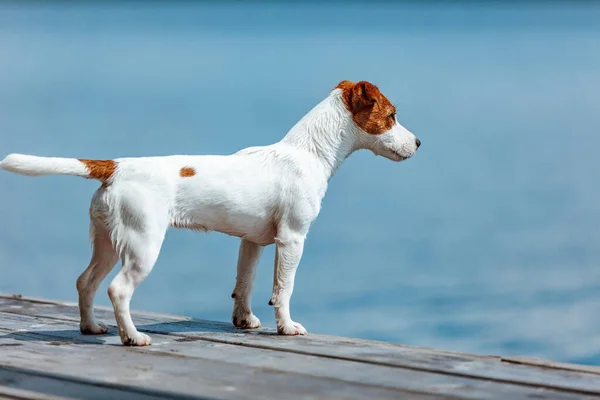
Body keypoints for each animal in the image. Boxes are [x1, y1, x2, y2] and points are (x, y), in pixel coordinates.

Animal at [0, 79, 420, 346]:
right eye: (392, 115)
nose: (418, 142)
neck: (308, 152)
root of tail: (115, 167)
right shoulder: (292, 239)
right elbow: (283, 289)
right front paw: (287, 327)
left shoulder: (252, 242)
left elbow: (244, 284)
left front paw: (244, 321)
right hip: (142, 245)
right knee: (117, 290)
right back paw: (133, 337)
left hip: (106, 242)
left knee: (85, 282)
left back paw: (91, 328)